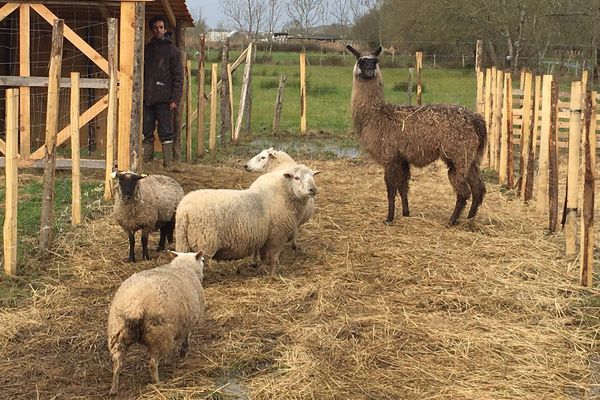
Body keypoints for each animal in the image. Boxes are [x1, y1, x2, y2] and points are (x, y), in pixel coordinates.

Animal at [105, 250, 204, 396]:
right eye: (203, 260)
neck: (182, 267)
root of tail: (136, 305)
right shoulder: (188, 322)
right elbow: (186, 338)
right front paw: (183, 353)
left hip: (117, 334)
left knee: (117, 365)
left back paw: (113, 389)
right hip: (159, 334)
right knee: (152, 363)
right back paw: (157, 383)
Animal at [175, 164, 318, 274]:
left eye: (313, 176)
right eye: (297, 177)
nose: (313, 189)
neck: (284, 194)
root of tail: (184, 211)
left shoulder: (265, 237)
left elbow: (263, 257)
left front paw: (261, 269)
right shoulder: (277, 236)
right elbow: (273, 258)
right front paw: (273, 274)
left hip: (182, 241)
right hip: (205, 242)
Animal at [346, 44, 488, 225]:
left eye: (375, 62)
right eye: (361, 61)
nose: (370, 71)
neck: (376, 115)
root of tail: (476, 119)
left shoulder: (389, 156)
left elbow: (391, 190)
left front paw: (389, 218)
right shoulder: (402, 158)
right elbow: (403, 187)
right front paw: (406, 213)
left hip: (458, 153)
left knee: (463, 190)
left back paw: (452, 221)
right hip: (471, 157)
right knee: (478, 187)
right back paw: (470, 218)